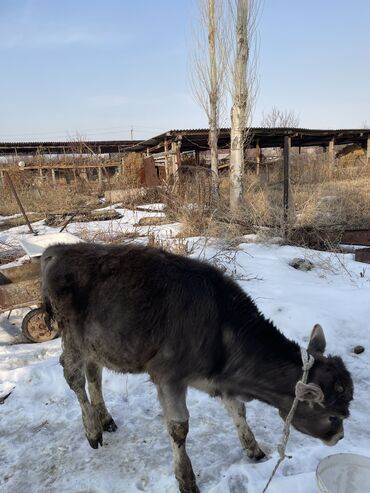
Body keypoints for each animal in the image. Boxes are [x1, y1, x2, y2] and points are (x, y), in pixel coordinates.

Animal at [40, 242, 352, 492]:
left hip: (98, 343)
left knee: (94, 374)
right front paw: (186, 479)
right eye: (334, 416)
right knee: (73, 376)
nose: (339, 437)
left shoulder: (223, 382)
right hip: (73, 337)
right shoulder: (168, 377)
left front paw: (253, 449)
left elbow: (238, 411)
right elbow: (179, 429)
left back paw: (105, 418)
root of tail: (60, 249)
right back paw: (92, 429)